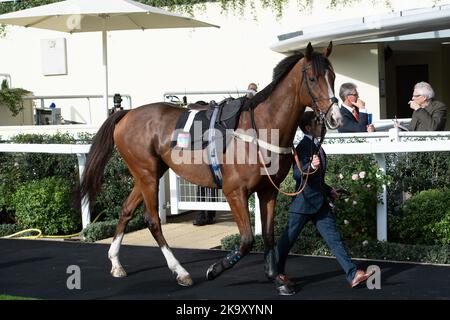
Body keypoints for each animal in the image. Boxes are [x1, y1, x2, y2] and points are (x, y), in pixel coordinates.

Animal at [80, 42, 342, 284]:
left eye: (333, 77)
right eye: (312, 78)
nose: (335, 118)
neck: (262, 127)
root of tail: (126, 113)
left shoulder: (268, 189)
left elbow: (268, 235)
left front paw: (275, 277)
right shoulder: (234, 191)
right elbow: (247, 240)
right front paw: (215, 269)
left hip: (149, 173)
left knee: (126, 210)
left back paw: (116, 263)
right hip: (147, 174)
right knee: (152, 221)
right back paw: (180, 271)